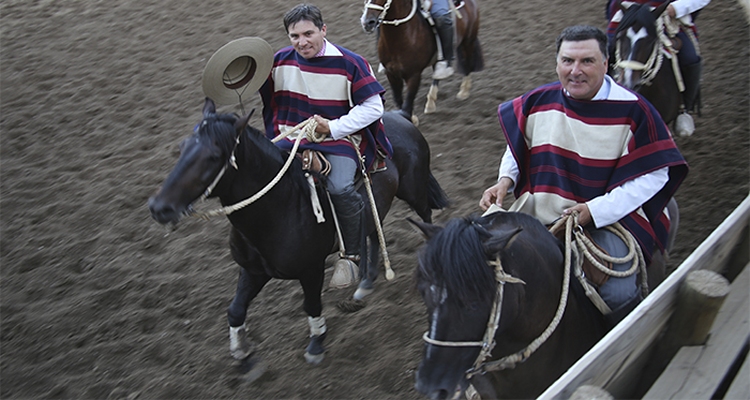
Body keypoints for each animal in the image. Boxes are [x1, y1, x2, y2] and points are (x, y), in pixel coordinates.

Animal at [150, 97, 450, 366]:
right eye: (182, 147)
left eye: (214, 156)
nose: (159, 207)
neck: (281, 204)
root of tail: (401, 116)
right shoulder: (253, 270)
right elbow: (235, 310)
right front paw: (242, 351)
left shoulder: (311, 270)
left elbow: (312, 306)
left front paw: (316, 343)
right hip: (376, 205)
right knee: (375, 233)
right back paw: (365, 283)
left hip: (414, 191)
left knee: (426, 217)